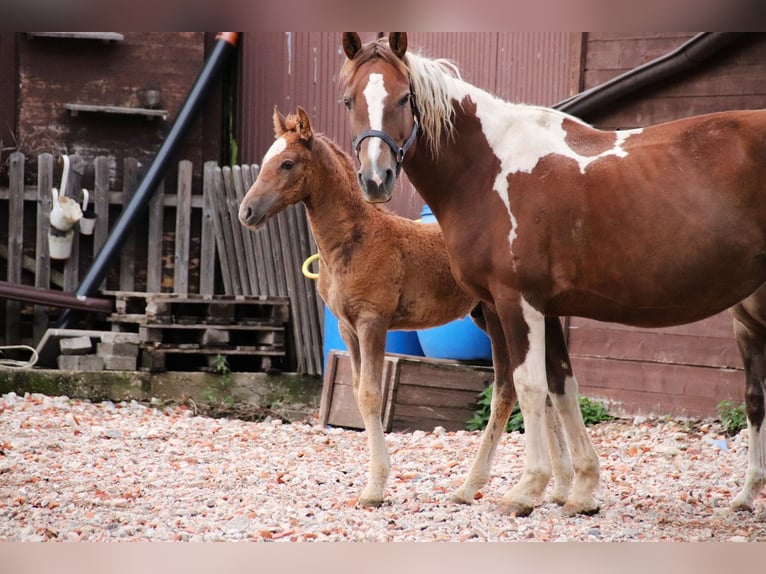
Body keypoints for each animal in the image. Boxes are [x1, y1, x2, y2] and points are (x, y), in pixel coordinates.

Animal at [240, 107, 576, 508]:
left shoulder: (373, 321)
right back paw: (558, 487)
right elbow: (358, 391)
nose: (247, 211)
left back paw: (474, 486)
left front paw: (374, 489)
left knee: (508, 389)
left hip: (501, 317)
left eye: (288, 163)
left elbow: (371, 395)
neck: (354, 241)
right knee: (543, 391)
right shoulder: (347, 328)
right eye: (265, 160)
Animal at [342, 31, 766, 516]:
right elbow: (562, 386)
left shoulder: (517, 301)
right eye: (349, 100)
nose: (376, 179)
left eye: (403, 97)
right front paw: (581, 489)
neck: (487, 169)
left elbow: (529, 387)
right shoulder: (538, 308)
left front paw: (527, 489)